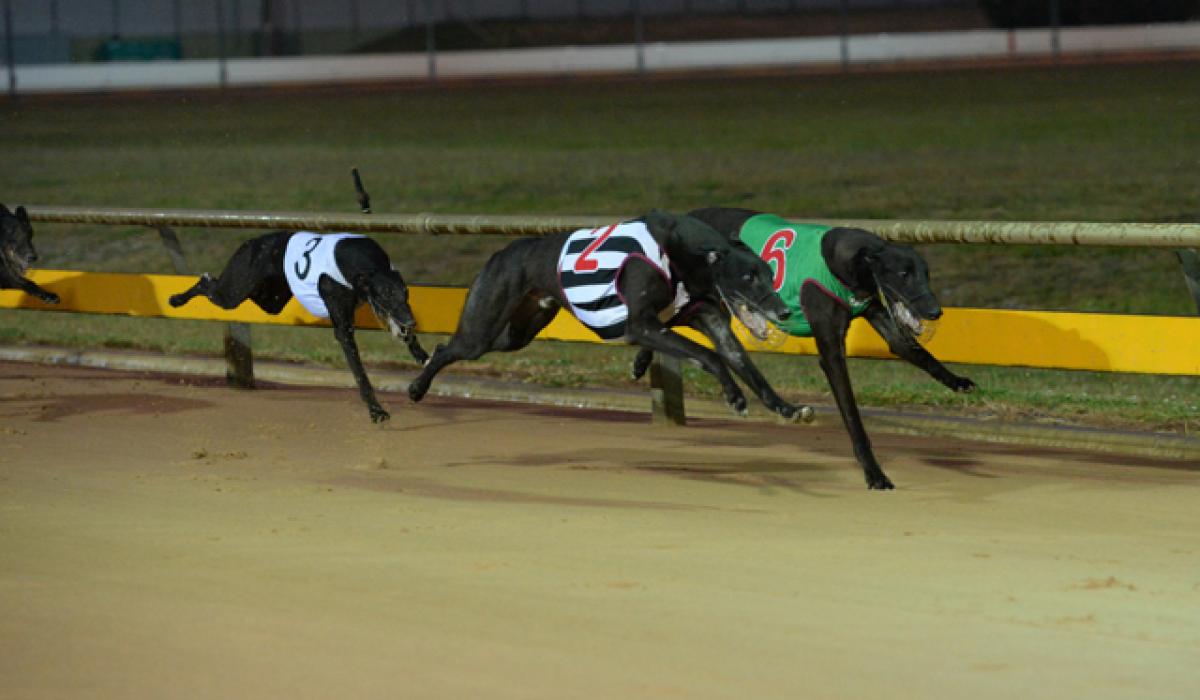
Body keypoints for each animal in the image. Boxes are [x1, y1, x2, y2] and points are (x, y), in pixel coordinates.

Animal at [169, 230, 428, 423]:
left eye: (406, 293)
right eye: (386, 294)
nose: (411, 321)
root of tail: (252, 241)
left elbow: (402, 333)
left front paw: (421, 354)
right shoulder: (344, 326)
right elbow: (360, 373)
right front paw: (376, 411)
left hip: (270, 300)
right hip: (234, 290)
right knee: (208, 285)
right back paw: (178, 298)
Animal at [407, 210, 810, 422]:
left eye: (768, 274)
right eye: (748, 277)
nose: (783, 310)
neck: (683, 254)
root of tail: (504, 251)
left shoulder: (705, 319)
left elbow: (742, 363)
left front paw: (785, 407)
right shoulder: (642, 325)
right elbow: (707, 355)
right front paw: (734, 396)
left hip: (514, 334)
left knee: (459, 346)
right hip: (483, 327)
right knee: (448, 348)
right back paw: (416, 387)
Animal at [631, 208, 976, 490]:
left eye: (926, 274)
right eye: (904, 274)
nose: (935, 311)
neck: (845, 260)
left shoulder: (875, 310)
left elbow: (913, 350)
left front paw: (957, 380)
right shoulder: (831, 351)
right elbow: (851, 414)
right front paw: (874, 473)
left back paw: (641, 360)